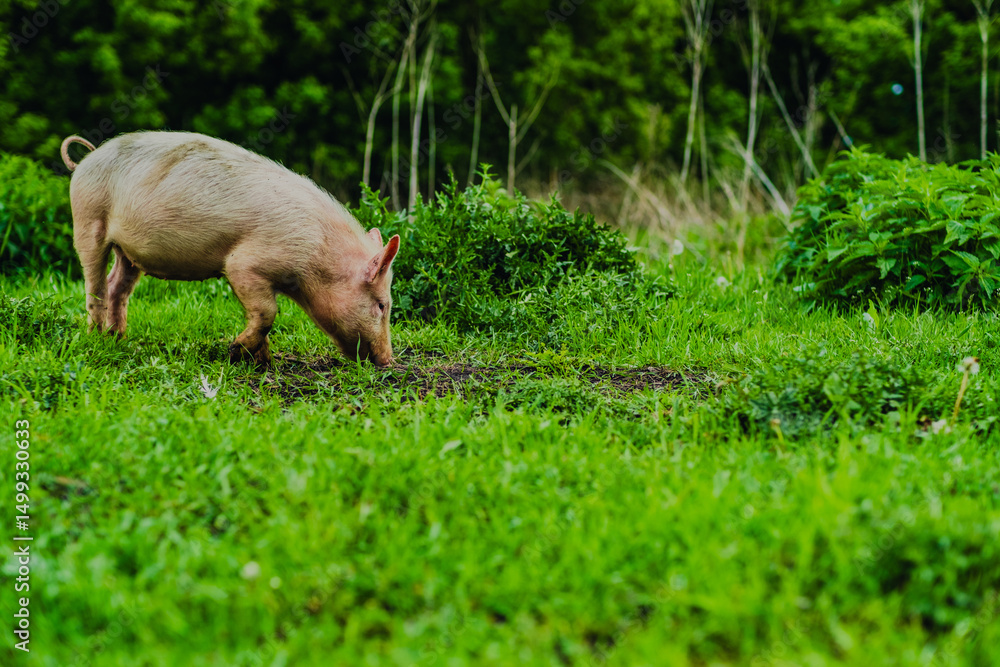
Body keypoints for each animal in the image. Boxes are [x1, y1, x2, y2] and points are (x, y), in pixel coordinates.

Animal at [60, 131, 400, 367]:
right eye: (382, 305)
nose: (388, 360)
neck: (314, 259)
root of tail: (86, 160)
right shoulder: (243, 264)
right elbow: (267, 312)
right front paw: (237, 352)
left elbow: (262, 315)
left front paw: (263, 361)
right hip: (87, 220)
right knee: (95, 285)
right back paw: (96, 338)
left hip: (127, 252)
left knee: (118, 285)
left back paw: (118, 339)